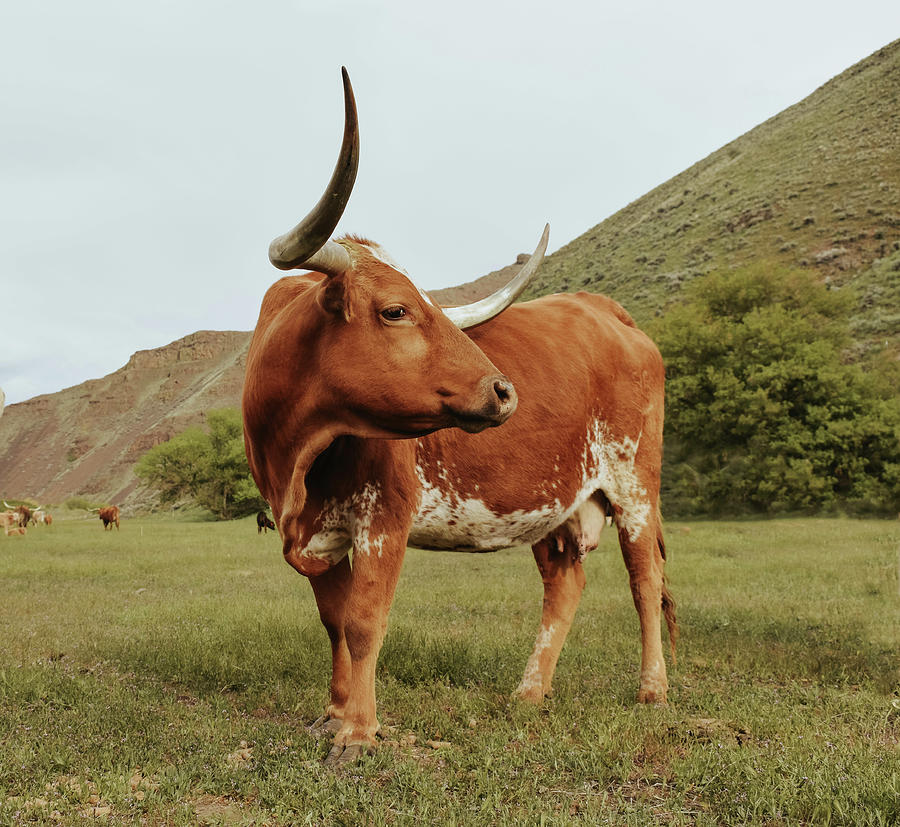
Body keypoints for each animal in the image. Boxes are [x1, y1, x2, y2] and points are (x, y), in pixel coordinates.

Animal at [241, 68, 676, 768]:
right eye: (395, 310)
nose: (503, 391)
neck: (299, 460)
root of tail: (607, 313)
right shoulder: (318, 533)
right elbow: (333, 622)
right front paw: (332, 717)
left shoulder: (385, 516)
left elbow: (364, 622)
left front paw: (359, 734)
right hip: (552, 499)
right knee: (565, 582)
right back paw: (529, 693)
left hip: (636, 482)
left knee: (644, 577)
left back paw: (652, 691)